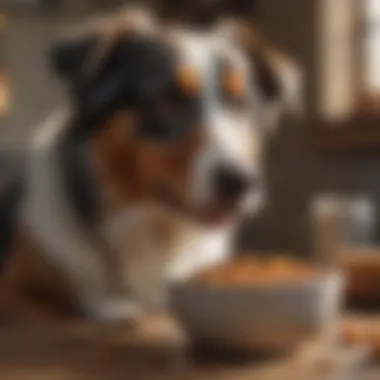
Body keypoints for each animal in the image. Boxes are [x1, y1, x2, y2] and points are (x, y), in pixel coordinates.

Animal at [0, 8, 302, 324]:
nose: (239, 182)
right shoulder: (13, 291)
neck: (158, 230)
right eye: (168, 100)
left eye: (241, 102)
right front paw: (111, 307)